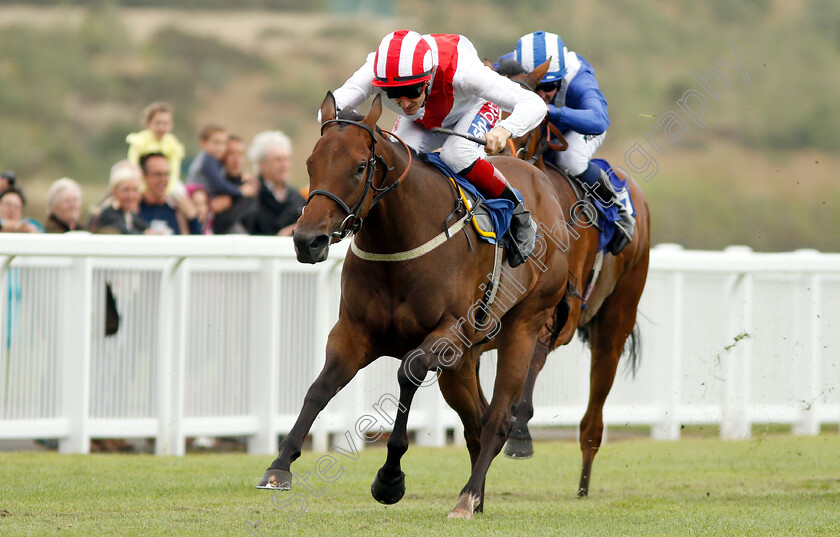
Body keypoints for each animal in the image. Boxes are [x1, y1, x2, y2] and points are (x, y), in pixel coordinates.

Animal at [256, 93, 572, 520]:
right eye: (310, 163)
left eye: (360, 167)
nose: (308, 240)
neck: (400, 240)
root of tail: (543, 184)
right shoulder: (352, 332)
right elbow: (320, 388)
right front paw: (279, 466)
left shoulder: (447, 332)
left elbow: (409, 372)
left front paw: (390, 478)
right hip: (464, 360)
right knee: (476, 420)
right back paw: (476, 497)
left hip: (523, 326)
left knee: (497, 419)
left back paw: (467, 497)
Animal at [496, 57, 652, 494]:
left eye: (532, 118)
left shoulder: (562, 305)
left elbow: (532, 359)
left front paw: (518, 432)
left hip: (615, 320)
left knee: (593, 415)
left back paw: (583, 481)